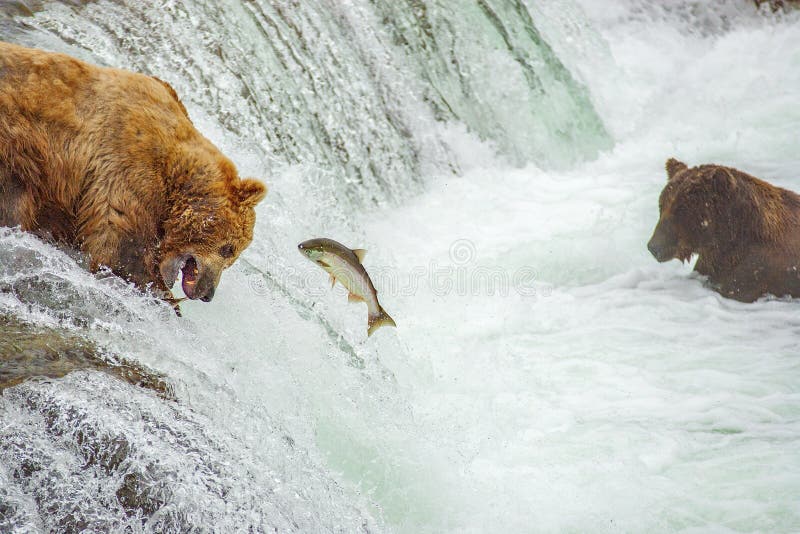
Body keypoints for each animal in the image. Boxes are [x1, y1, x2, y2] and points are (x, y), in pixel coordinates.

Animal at [0, 42, 268, 306]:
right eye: (229, 248)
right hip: (19, 150)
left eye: (232, 255)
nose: (208, 293)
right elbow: (122, 248)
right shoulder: (127, 166)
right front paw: (161, 294)